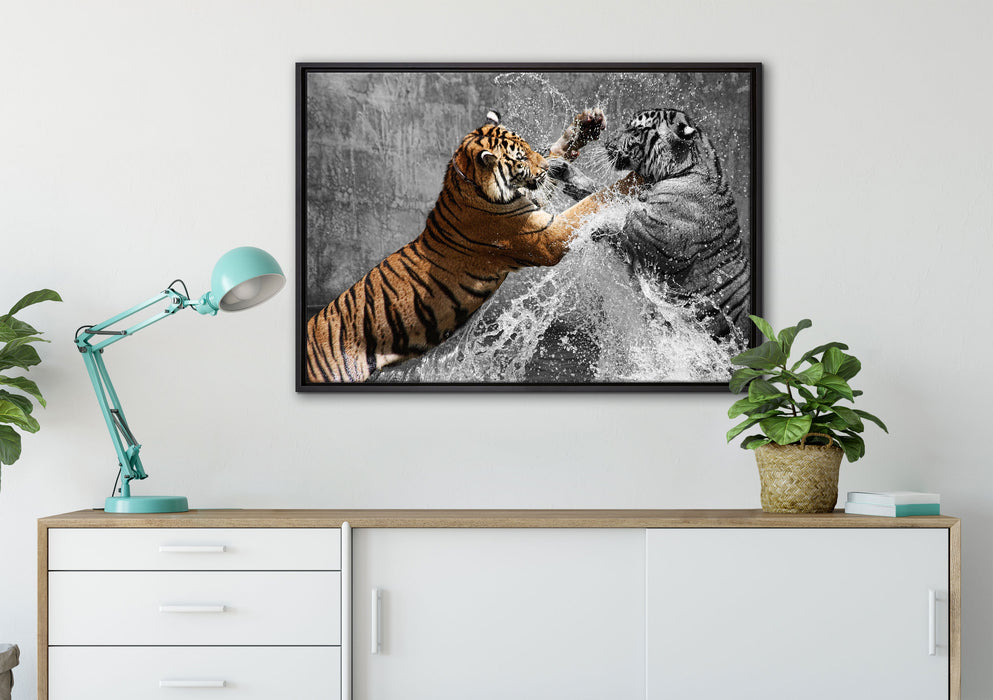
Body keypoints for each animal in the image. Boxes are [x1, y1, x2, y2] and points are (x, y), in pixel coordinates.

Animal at [305, 111, 643, 383]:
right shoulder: (545, 237)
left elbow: (555, 153)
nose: (545, 169)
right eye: (520, 159)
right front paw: (635, 180)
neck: (468, 183)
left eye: (528, 148)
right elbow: (593, 201)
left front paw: (586, 125)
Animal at [551, 108, 750, 343]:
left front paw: (593, 230)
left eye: (636, 130)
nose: (607, 142)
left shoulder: (654, 239)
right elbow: (603, 196)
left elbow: (619, 221)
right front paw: (563, 169)